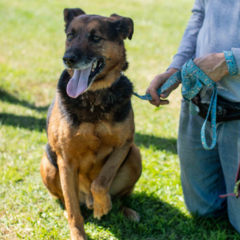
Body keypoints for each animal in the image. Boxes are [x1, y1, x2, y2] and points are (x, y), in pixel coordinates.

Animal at [40, 8, 142, 239]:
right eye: (70, 36)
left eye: (96, 38)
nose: (68, 59)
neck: (94, 97)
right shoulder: (66, 160)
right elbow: (72, 209)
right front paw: (78, 233)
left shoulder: (124, 145)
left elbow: (101, 181)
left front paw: (102, 205)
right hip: (47, 163)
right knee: (66, 202)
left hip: (135, 155)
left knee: (120, 197)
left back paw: (126, 211)